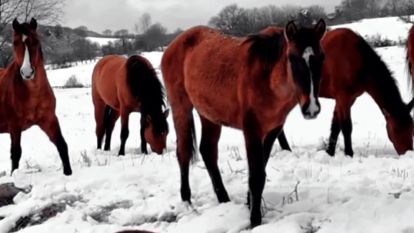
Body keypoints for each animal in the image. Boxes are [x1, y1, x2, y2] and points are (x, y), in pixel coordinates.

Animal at [0, 18, 72, 175]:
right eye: (15, 42)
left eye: (36, 41)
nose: (27, 72)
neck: (33, 94)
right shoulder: (14, 126)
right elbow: (15, 154)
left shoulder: (49, 120)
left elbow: (62, 145)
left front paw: (68, 173)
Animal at [162, 20, 326, 227]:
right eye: (292, 58)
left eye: (321, 57)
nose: (311, 108)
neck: (266, 79)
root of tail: (173, 45)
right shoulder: (251, 131)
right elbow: (256, 177)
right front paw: (255, 219)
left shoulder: (272, 131)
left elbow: (260, 171)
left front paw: (249, 203)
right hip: (181, 108)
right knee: (183, 153)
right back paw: (187, 200)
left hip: (209, 116)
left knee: (208, 152)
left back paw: (223, 199)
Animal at [278, 28, 414, 157]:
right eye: (396, 129)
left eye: (411, 127)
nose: (408, 152)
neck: (357, 59)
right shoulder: (343, 97)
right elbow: (346, 127)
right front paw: (349, 153)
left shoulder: (347, 99)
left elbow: (336, 126)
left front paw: (330, 152)